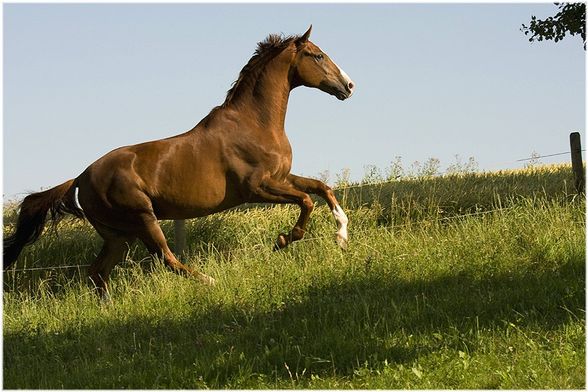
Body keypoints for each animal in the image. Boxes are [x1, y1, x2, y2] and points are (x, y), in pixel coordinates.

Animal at [3, 26, 354, 298]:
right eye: (318, 56)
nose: (349, 86)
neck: (254, 123)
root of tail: (79, 178)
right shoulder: (258, 188)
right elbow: (307, 200)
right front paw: (283, 240)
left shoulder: (282, 177)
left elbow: (322, 188)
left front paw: (342, 237)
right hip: (143, 219)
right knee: (165, 258)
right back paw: (210, 281)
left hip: (119, 235)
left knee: (97, 271)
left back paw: (109, 308)